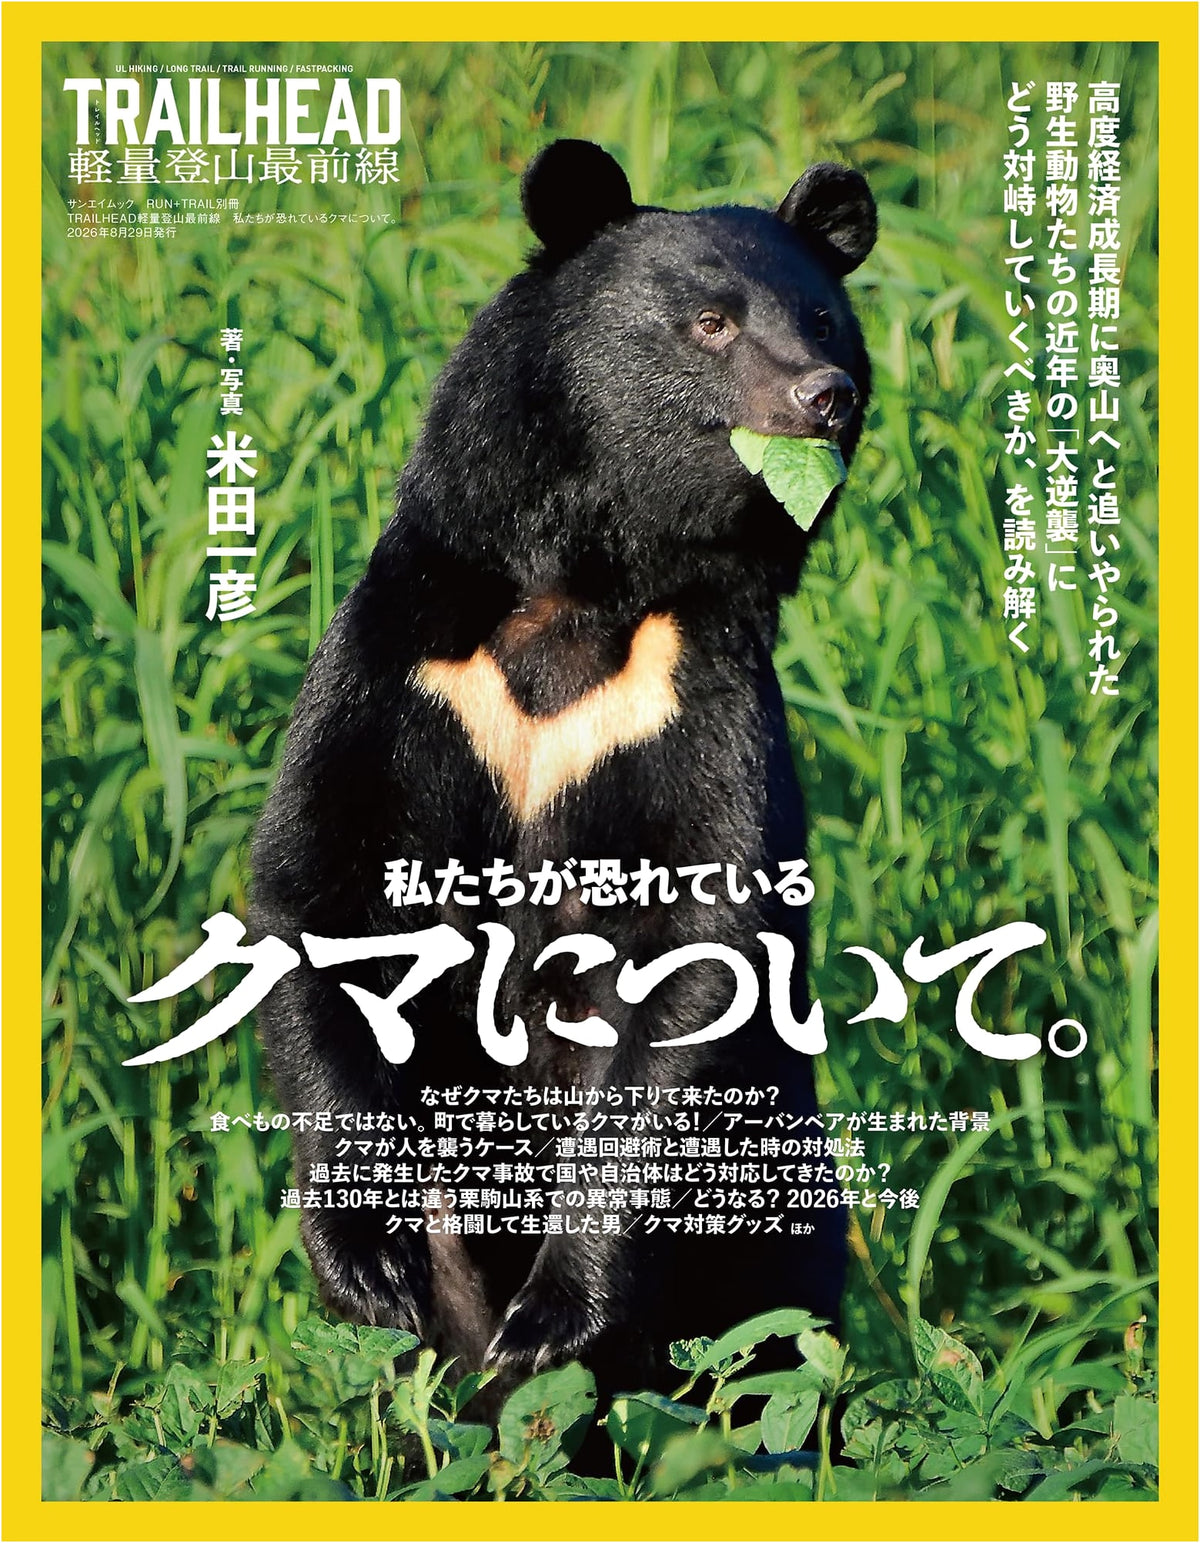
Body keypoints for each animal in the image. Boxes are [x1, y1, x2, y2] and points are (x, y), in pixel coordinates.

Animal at [251, 138, 876, 1401]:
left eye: (826, 318)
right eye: (710, 322)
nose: (826, 393)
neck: (589, 577)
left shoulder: (691, 684)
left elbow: (702, 934)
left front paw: (555, 1312)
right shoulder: (408, 655)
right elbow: (320, 879)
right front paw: (363, 1260)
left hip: (770, 1203)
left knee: (767, 1353)